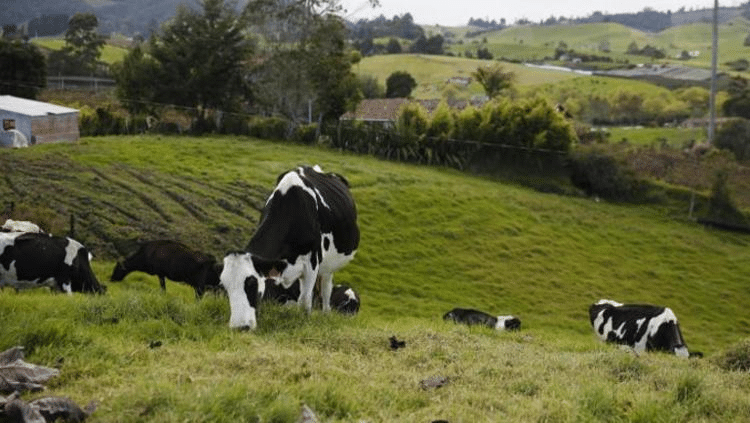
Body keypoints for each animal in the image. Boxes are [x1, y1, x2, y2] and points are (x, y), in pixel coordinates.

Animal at [220, 165, 360, 329]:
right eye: (225, 286)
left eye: (252, 283)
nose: (240, 327)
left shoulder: (312, 263)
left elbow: (304, 302)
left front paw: (304, 324)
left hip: (328, 265)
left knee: (326, 289)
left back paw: (325, 314)